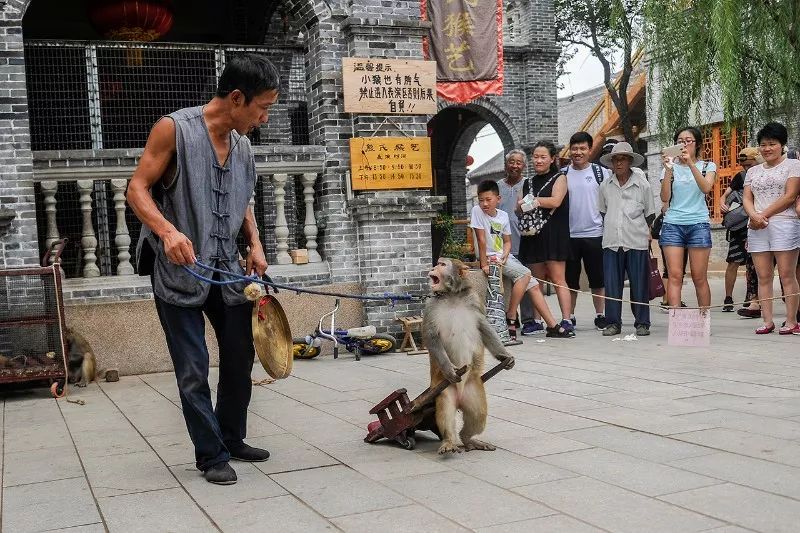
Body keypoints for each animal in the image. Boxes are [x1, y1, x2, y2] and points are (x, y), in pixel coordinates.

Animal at [422, 258, 516, 454]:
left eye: (442, 265)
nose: (433, 267)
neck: (452, 296)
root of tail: (460, 399)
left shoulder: (473, 300)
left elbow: (484, 326)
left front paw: (504, 356)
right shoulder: (430, 306)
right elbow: (431, 337)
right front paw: (450, 370)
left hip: (473, 389)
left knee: (477, 415)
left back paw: (468, 439)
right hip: (444, 389)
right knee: (446, 412)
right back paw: (449, 440)